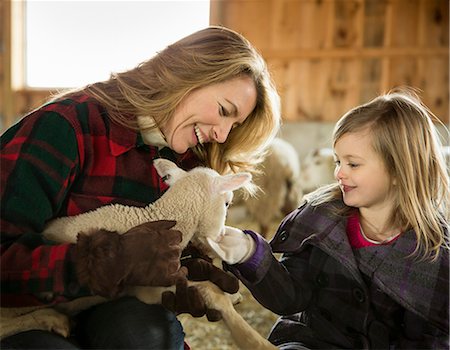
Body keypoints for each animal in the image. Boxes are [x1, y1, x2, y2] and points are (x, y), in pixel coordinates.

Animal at [0, 159, 276, 350]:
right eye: (227, 203)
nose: (218, 237)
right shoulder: (149, 284)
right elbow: (212, 291)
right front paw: (255, 341)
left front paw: (235, 294)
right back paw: (51, 319)